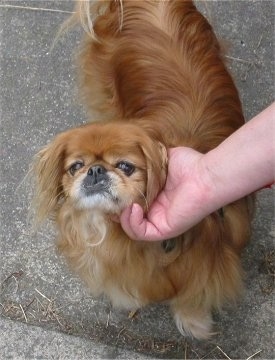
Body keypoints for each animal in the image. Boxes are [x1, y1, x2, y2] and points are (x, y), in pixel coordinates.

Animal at [33, 0, 256, 338]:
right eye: (76, 166)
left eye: (126, 166)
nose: (95, 171)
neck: (119, 237)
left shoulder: (211, 261)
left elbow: (195, 293)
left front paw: (193, 321)